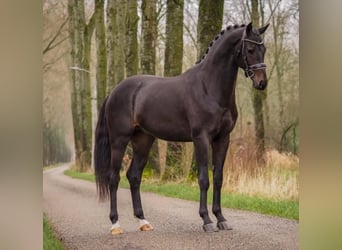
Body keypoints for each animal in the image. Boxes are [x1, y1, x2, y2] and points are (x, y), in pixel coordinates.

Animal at [95, 22, 268, 233]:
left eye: (264, 49)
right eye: (250, 49)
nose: (262, 82)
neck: (209, 88)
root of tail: (114, 91)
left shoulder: (222, 139)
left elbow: (218, 178)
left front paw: (221, 218)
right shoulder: (201, 138)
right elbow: (204, 179)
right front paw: (206, 220)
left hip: (143, 141)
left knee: (134, 176)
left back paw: (143, 221)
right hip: (119, 141)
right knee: (113, 178)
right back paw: (115, 224)